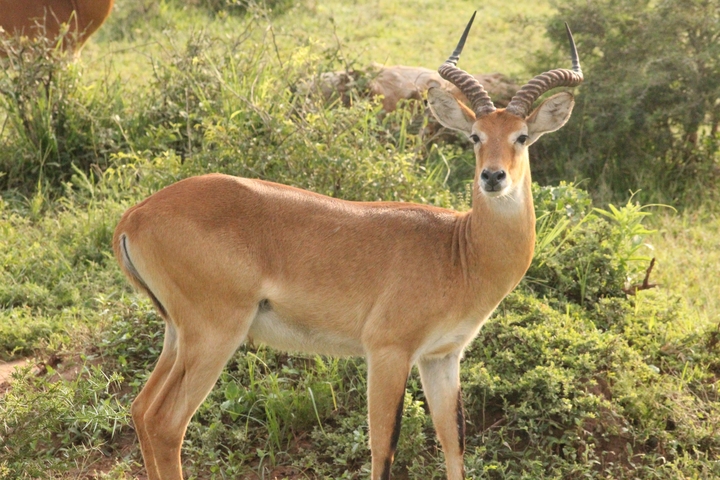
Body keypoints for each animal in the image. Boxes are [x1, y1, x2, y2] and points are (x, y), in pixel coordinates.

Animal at [113, 12, 583, 480]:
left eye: (522, 136)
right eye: (475, 136)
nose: (493, 177)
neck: (459, 249)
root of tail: (136, 215)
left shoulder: (442, 358)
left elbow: (454, 443)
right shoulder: (388, 351)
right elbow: (384, 446)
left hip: (177, 334)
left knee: (141, 410)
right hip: (214, 334)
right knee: (166, 422)